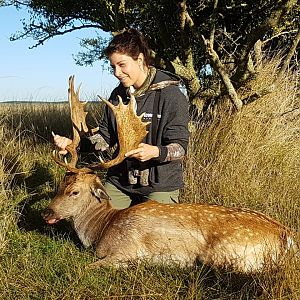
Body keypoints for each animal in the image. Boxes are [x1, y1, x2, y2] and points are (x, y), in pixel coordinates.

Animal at [42, 75, 298, 274]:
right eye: (60, 185)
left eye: (74, 192)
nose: (47, 213)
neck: (102, 229)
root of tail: (286, 236)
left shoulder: (125, 249)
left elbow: (87, 267)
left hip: (229, 255)